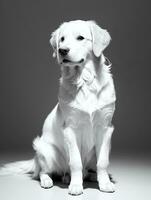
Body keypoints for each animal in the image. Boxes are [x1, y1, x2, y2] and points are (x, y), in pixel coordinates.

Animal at [0, 19, 116, 195]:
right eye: (61, 39)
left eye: (80, 38)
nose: (62, 50)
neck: (85, 81)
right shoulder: (70, 128)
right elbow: (75, 162)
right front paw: (76, 186)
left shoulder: (105, 127)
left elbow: (102, 162)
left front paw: (105, 184)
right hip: (45, 150)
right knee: (42, 172)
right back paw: (50, 180)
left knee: (87, 170)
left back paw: (91, 177)